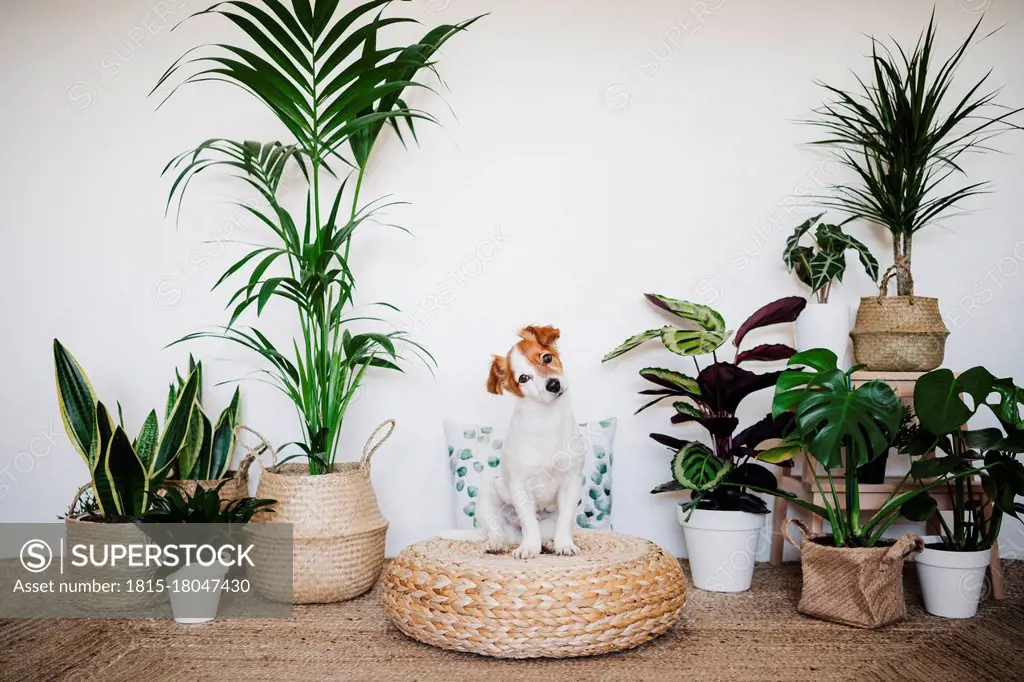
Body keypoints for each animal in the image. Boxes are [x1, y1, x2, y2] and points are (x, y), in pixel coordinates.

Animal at [477, 323, 585, 557]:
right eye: (523, 378)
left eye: (546, 357)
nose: (553, 385)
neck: (546, 420)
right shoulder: (520, 486)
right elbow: (529, 522)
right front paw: (529, 547)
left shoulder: (570, 482)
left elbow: (564, 520)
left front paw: (563, 544)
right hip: (487, 500)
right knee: (496, 529)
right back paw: (497, 543)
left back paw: (548, 543)